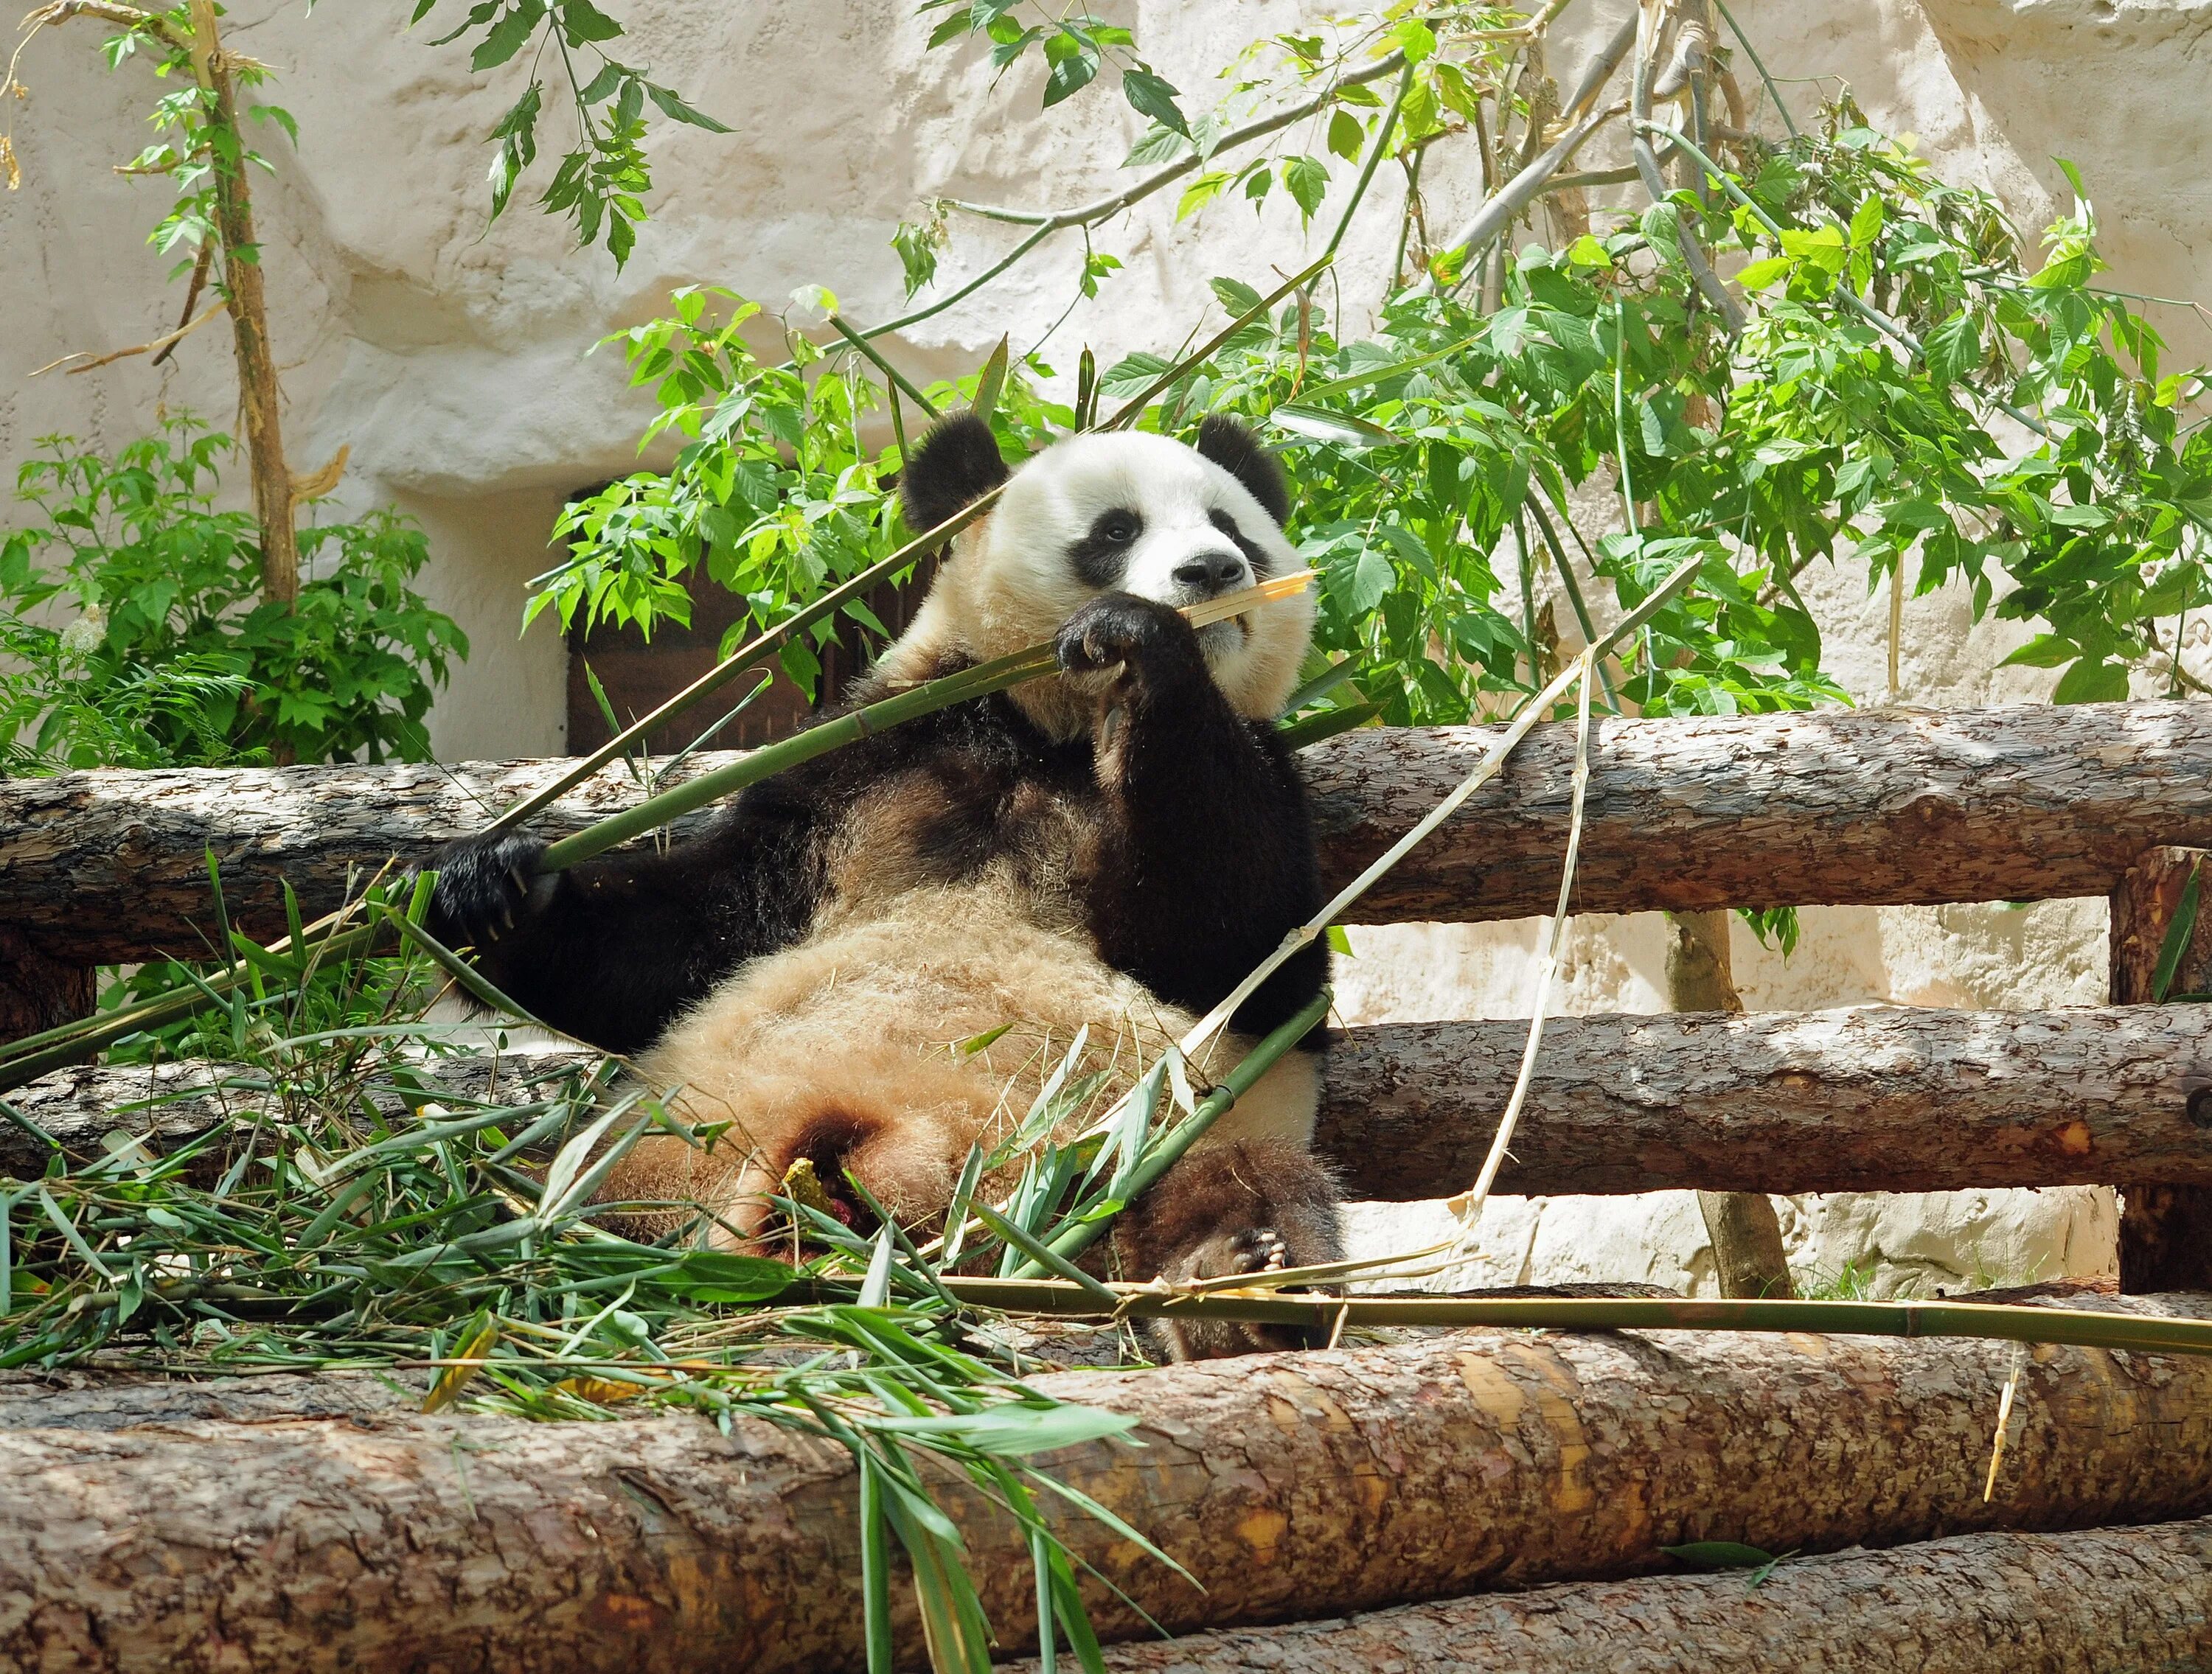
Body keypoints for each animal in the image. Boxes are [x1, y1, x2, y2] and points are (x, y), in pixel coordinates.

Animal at [425, 411, 1336, 1353]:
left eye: (1231, 527)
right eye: (1117, 529)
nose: (1214, 572)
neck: (1045, 729)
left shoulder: (1272, 788)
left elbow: (1238, 943)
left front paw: (1138, 639)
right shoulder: (860, 765)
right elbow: (693, 932)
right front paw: (492, 894)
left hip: (1172, 1120)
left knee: (1235, 1183)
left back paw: (1241, 1285)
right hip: (676, 1123)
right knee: (602, 1188)